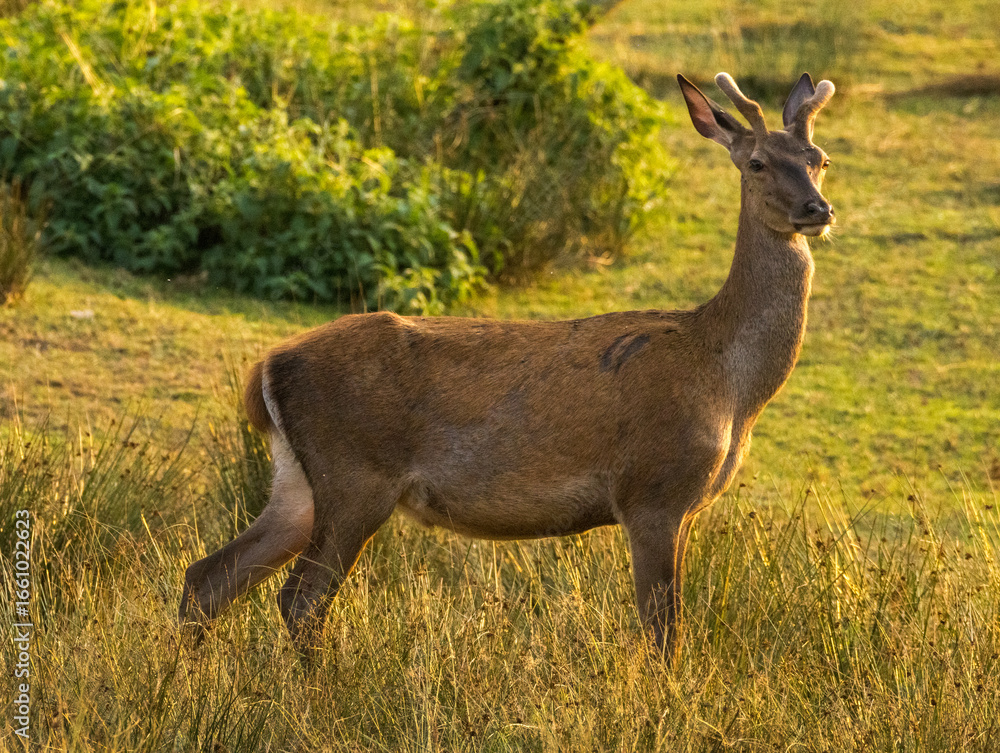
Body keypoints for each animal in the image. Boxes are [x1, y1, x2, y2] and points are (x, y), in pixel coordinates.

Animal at [179, 72, 836, 665]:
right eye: (756, 163)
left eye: (819, 159)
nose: (817, 208)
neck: (726, 382)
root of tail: (265, 369)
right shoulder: (652, 489)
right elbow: (662, 634)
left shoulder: (682, 505)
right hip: (355, 473)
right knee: (299, 599)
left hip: (298, 482)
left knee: (208, 577)